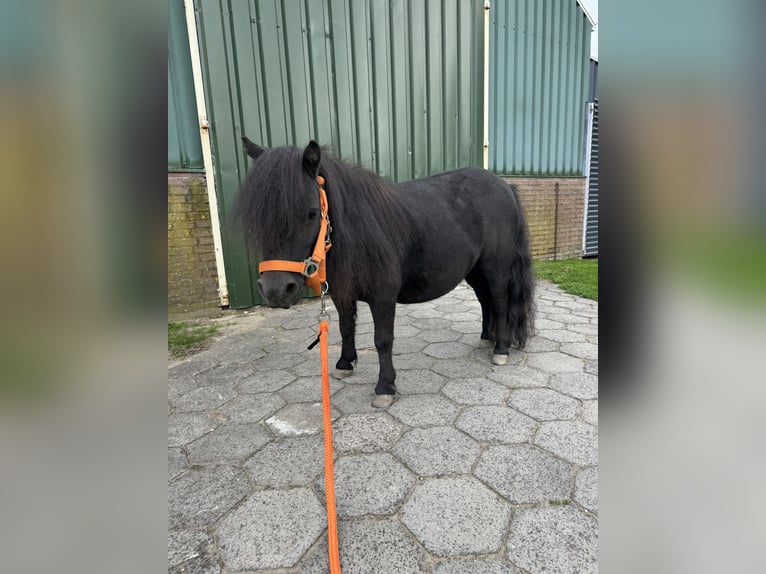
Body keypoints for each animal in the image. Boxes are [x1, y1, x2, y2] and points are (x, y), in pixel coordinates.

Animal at [235, 138, 535, 408]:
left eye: (311, 214)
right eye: (259, 217)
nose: (275, 290)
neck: (358, 231)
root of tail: (505, 185)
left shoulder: (383, 298)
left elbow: (382, 340)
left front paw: (385, 387)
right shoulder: (342, 293)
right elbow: (346, 327)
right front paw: (345, 363)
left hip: (495, 268)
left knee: (500, 301)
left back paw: (500, 349)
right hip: (475, 270)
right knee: (486, 301)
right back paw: (487, 337)